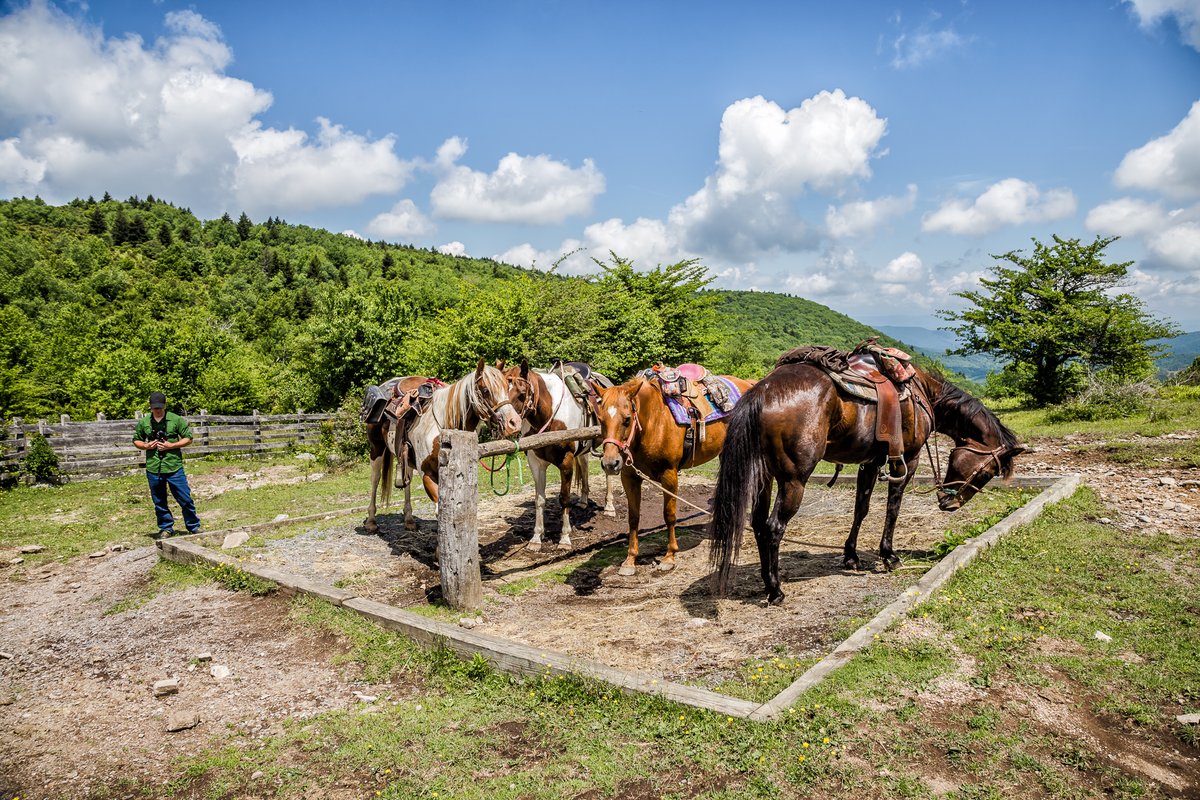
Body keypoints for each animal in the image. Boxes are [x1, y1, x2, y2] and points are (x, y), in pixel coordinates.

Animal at [366, 360, 523, 532]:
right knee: (375, 479)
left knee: (407, 479)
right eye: (486, 390)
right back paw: (371, 521)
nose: (514, 423)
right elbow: (439, 510)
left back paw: (409, 520)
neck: (443, 426)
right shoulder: (427, 473)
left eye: (507, 387)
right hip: (376, 449)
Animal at [503, 361, 617, 550]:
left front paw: (564, 538)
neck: (549, 414)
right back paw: (583, 501)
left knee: (608, 473)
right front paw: (536, 538)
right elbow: (539, 500)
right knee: (584, 464)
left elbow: (564, 499)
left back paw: (609, 507)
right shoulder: (535, 462)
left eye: (521, 394)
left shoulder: (566, 461)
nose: (507, 424)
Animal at [597, 371, 756, 576]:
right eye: (601, 420)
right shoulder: (629, 477)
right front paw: (630, 560)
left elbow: (669, 515)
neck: (653, 421)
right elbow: (633, 517)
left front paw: (669, 557)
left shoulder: (669, 475)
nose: (610, 463)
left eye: (626, 419)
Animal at [708, 358, 1024, 605]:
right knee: (774, 527)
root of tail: (761, 391)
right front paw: (889, 556)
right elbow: (893, 509)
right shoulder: (907, 460)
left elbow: (861, 509)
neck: (923, 394)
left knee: (759, 525)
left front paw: (850, 556)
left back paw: (766, 582)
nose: (951, 504)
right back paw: (776, 590)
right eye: (987, 472)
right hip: (793, 480)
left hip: (764, 476)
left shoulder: (869, 462)